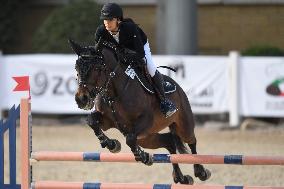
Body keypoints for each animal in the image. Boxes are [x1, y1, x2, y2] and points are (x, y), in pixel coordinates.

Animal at [69, 38, 210, 185]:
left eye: (97, 68)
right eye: (76, 68)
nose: (81, 99)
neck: (114, 93)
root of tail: (178, 87)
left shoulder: (145, 121)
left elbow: (130, 139)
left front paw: (142, 155)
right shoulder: (107, 121)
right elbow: (91, 121)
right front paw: (112, 145)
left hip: (182, 125)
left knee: (191, 141)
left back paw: (201, 172)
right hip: (146, 138)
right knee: (169, 141)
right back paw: (181, 177)